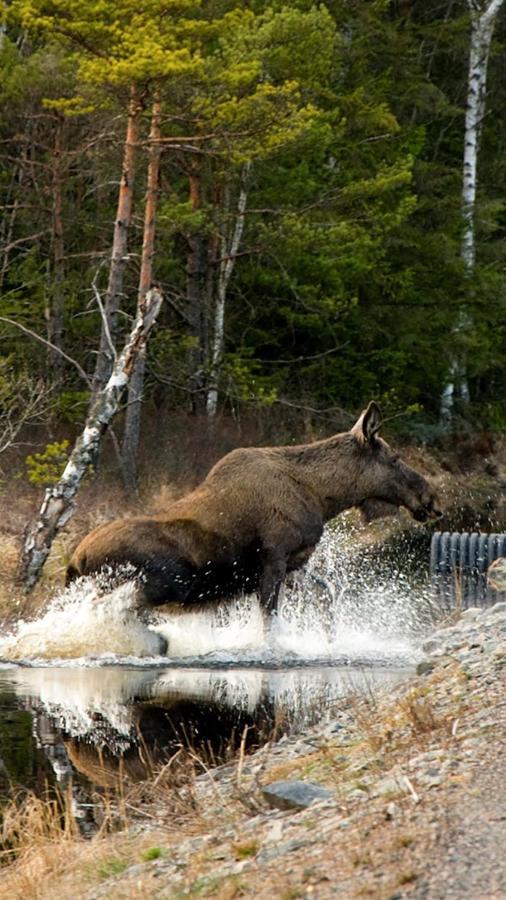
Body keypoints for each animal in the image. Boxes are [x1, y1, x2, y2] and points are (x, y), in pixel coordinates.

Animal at [68, 400, 442, 612]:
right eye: (395, 458)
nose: (432, 499)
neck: (323, 497)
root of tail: (75, 561)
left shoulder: (295, 563)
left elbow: (326, 594)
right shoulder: (274, 558)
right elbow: (270, 620)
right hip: (159, 583)